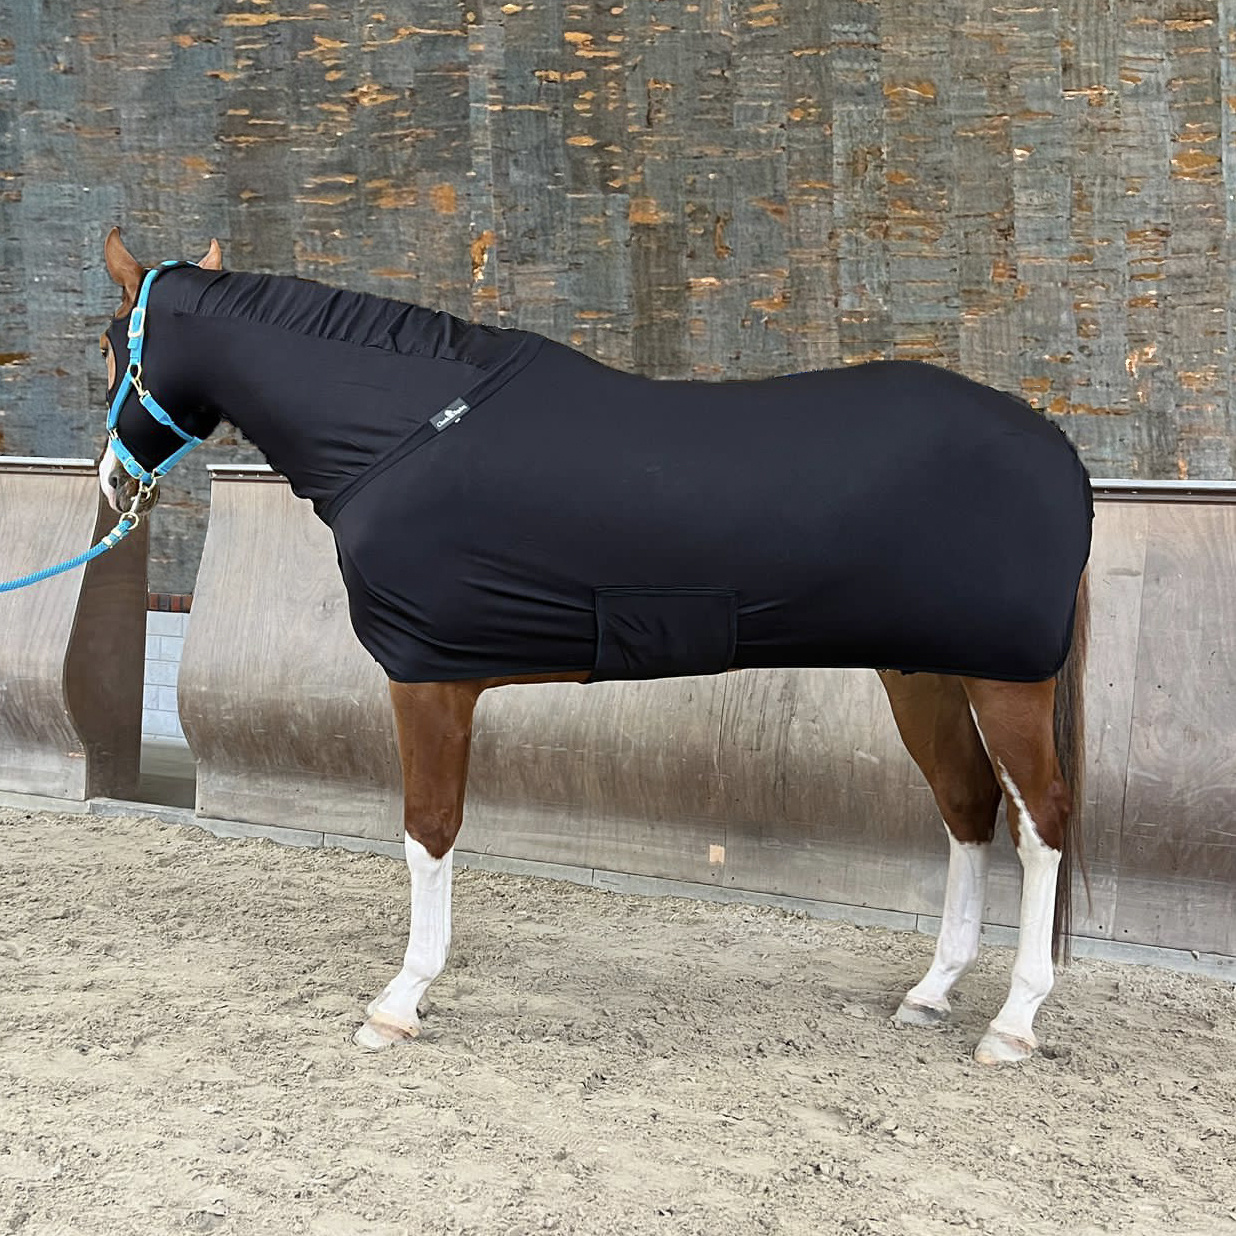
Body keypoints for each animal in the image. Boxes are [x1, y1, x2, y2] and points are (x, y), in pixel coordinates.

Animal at [96, 228, 1092, 1065]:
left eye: (109, 345)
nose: (112, 481)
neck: (402, 431)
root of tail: (1056, 449)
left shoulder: (427, 680)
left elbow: (428, 832)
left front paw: (401, 1000)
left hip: (1007, 679)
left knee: (1040, 820)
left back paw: (1013, 1021)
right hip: (923, 671)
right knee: (966, 807)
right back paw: (933, 991)